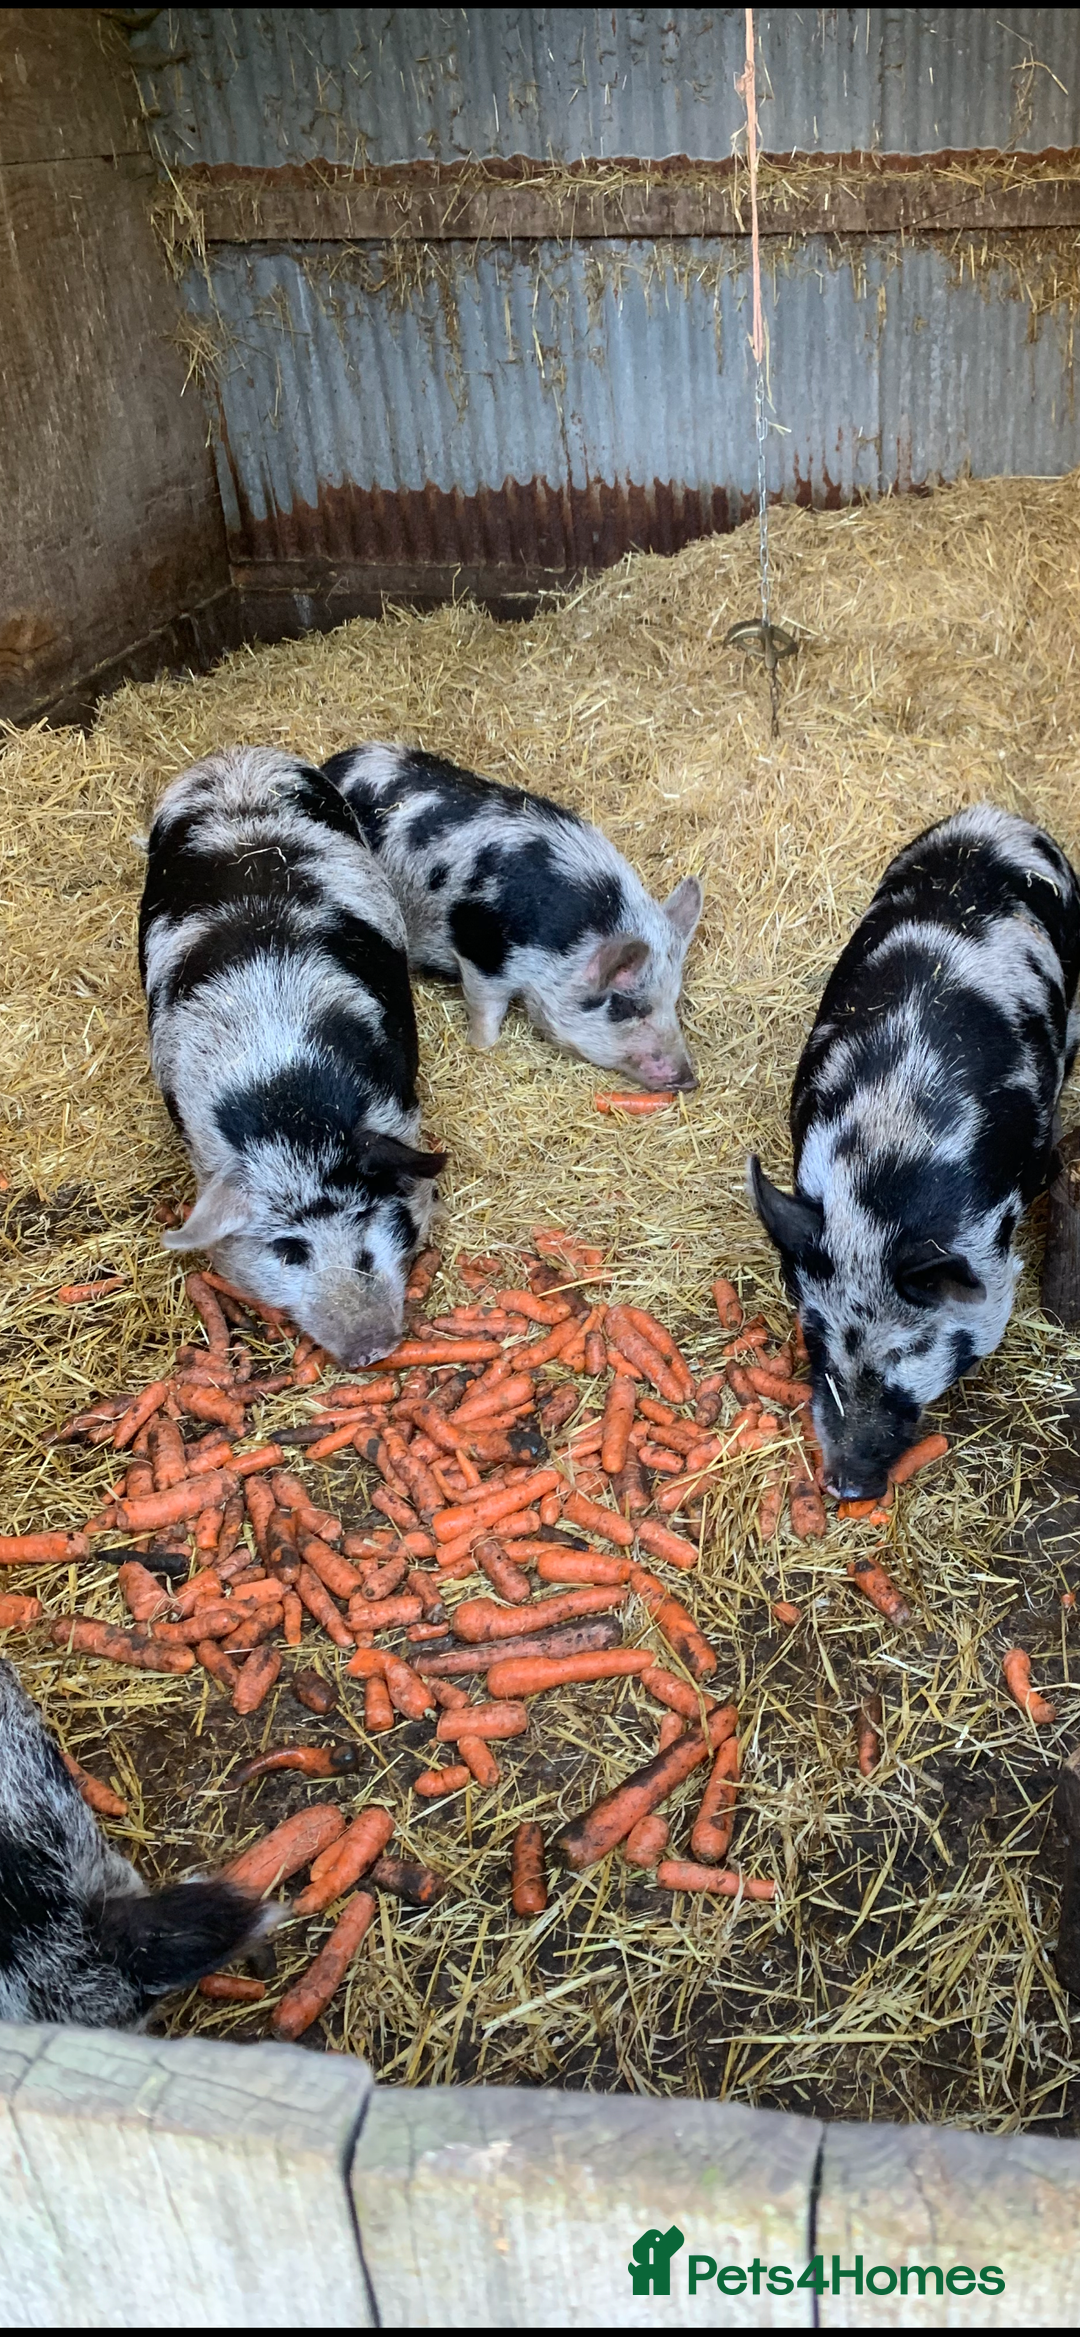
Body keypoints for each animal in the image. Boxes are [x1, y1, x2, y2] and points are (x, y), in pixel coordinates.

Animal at [322, 744, 703, 1089]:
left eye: (674, 1000)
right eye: (631, 1006)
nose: (689, 1080)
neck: (569, 941)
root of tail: (340, 762)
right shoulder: (483, 955)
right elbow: (486, 1010)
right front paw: (484, 1049)